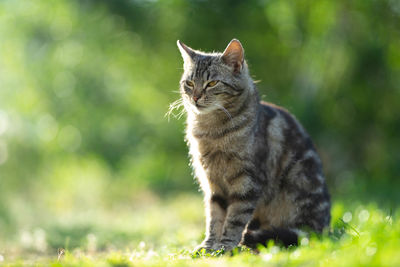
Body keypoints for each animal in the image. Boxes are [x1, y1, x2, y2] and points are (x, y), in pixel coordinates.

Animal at [175, 38, 332, 252]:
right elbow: (214, 219)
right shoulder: (213, 185)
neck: (212, 132)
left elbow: (234, 219)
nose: (195, 97)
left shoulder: (247, 183)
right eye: (189, 83)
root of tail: (323, 229)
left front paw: (225, 247)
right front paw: (208, 247)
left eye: (212, 83)